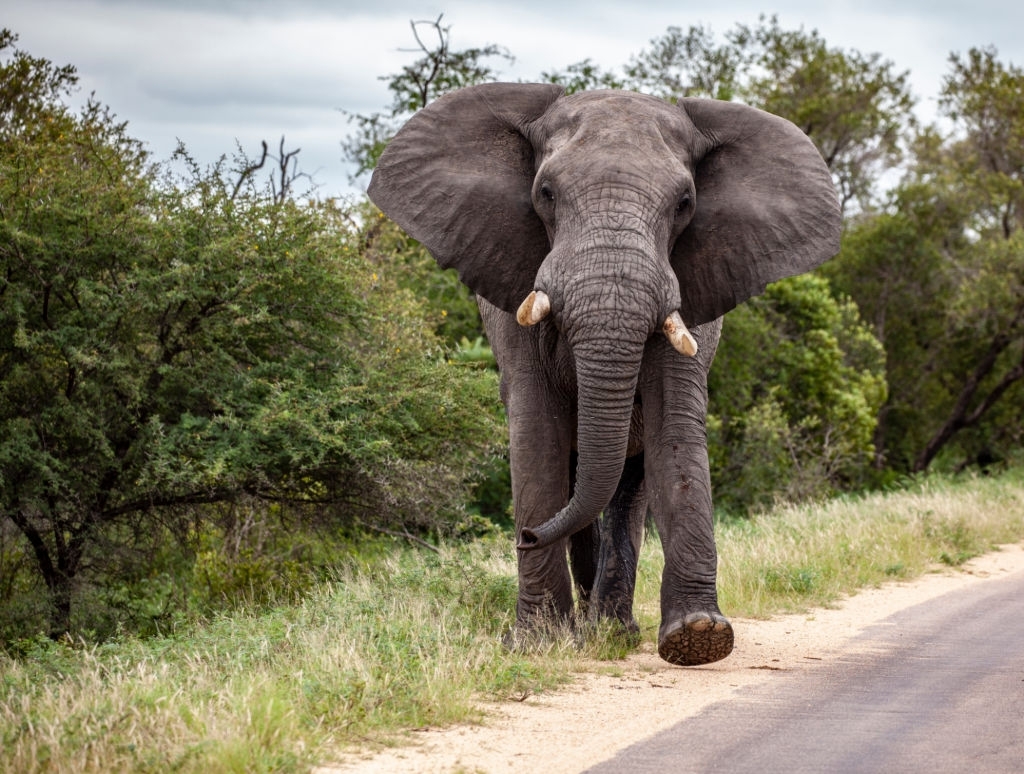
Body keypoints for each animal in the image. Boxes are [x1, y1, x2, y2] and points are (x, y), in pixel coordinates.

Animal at [368, 82, 839, 663]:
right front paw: (539, 643)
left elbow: (673, 429)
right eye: (545, 192)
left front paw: (698, 639)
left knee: (626, 486)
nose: (525, 535)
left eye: (685, 204)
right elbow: (537, 432)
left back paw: (613, 630)